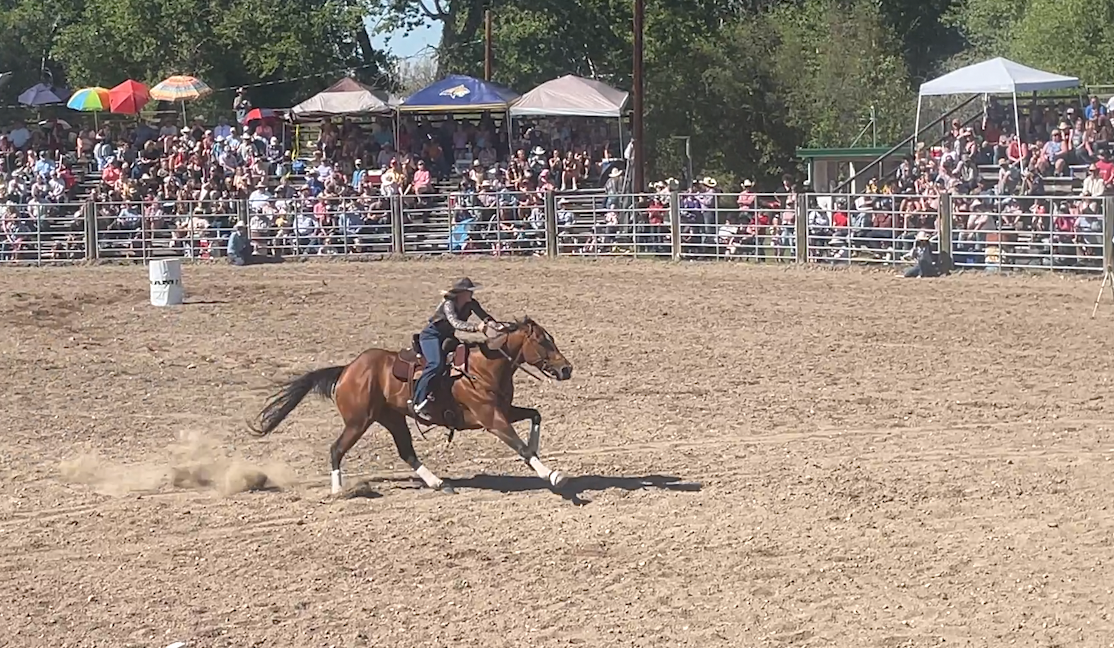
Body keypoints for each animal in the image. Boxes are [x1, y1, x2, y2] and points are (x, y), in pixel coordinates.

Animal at [246, 318, 574, 494]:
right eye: (543, 341)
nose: (566, 369)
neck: (483, 367)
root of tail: (348, 370)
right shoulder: (491, 418)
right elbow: (520, 447)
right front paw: (552, 475)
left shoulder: (503, 411)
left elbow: (535, 416)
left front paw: (539, 453)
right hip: (358, 421)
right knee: (336, 449)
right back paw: (339, 490)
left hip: (392, 418)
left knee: (406, 452)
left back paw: (438, 482)